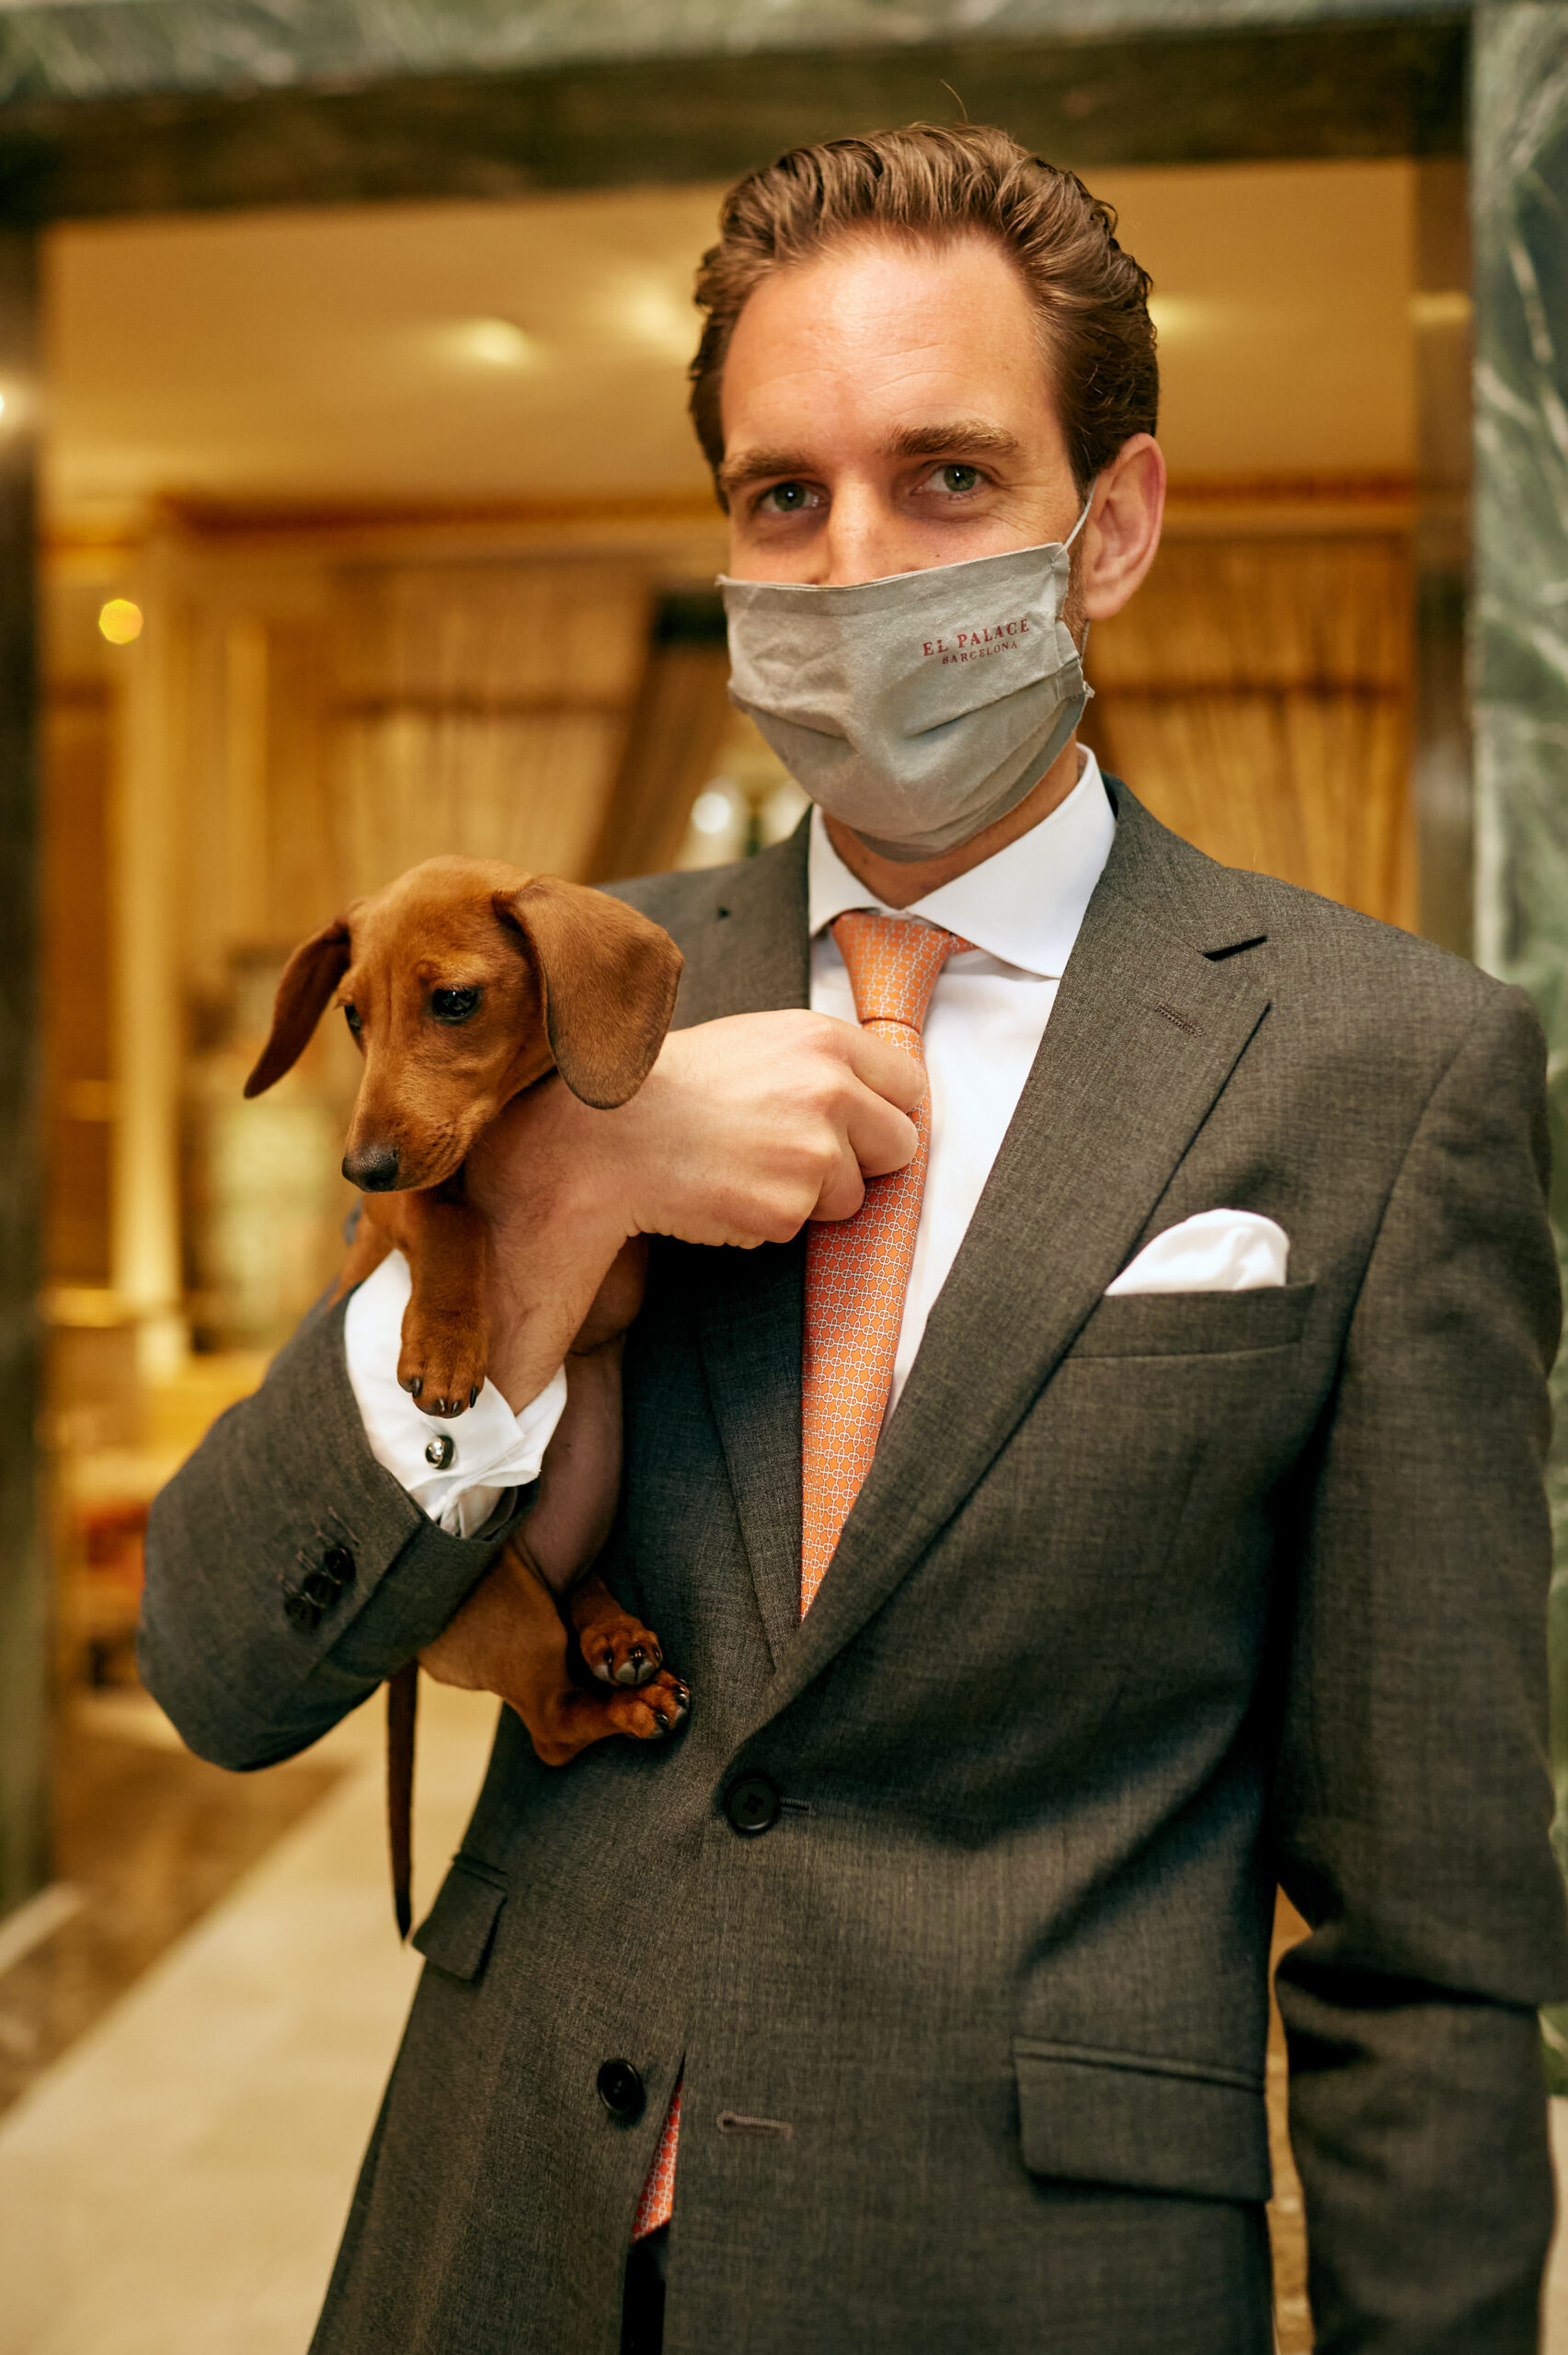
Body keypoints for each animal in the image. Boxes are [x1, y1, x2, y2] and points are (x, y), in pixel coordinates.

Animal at [246, 856, 691, 1932]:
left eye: (453, 1001)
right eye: (351, 1015)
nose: (358, 1165)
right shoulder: (399, 1213)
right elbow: (450, 1218)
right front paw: (444, 1351)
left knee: (583, 1599)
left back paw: (616, 1638)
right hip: (510, 1607)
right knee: (556, 1729)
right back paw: (626, 1697)